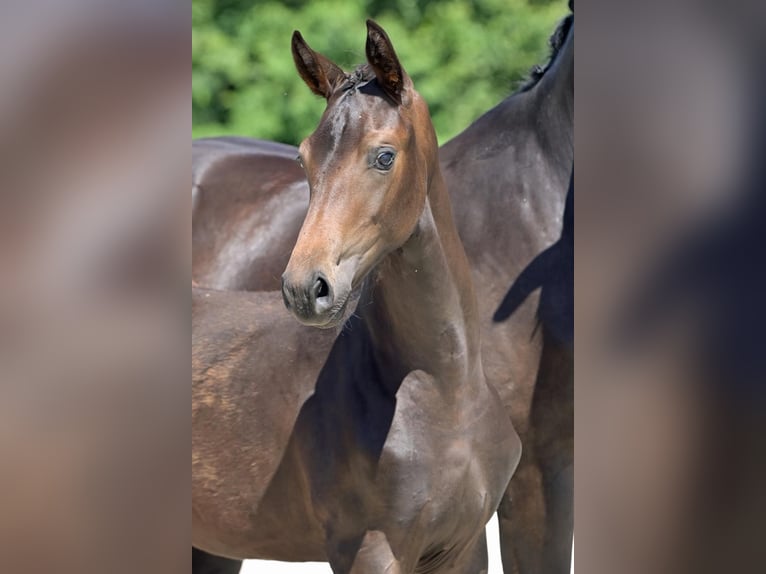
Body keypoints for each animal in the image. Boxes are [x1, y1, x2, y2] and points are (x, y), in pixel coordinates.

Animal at [195, 5, 572, 574]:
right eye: (303, 159)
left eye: (384, 157)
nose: (305, 288)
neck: (445, 391)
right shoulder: (372, 547)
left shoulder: (467, 542)